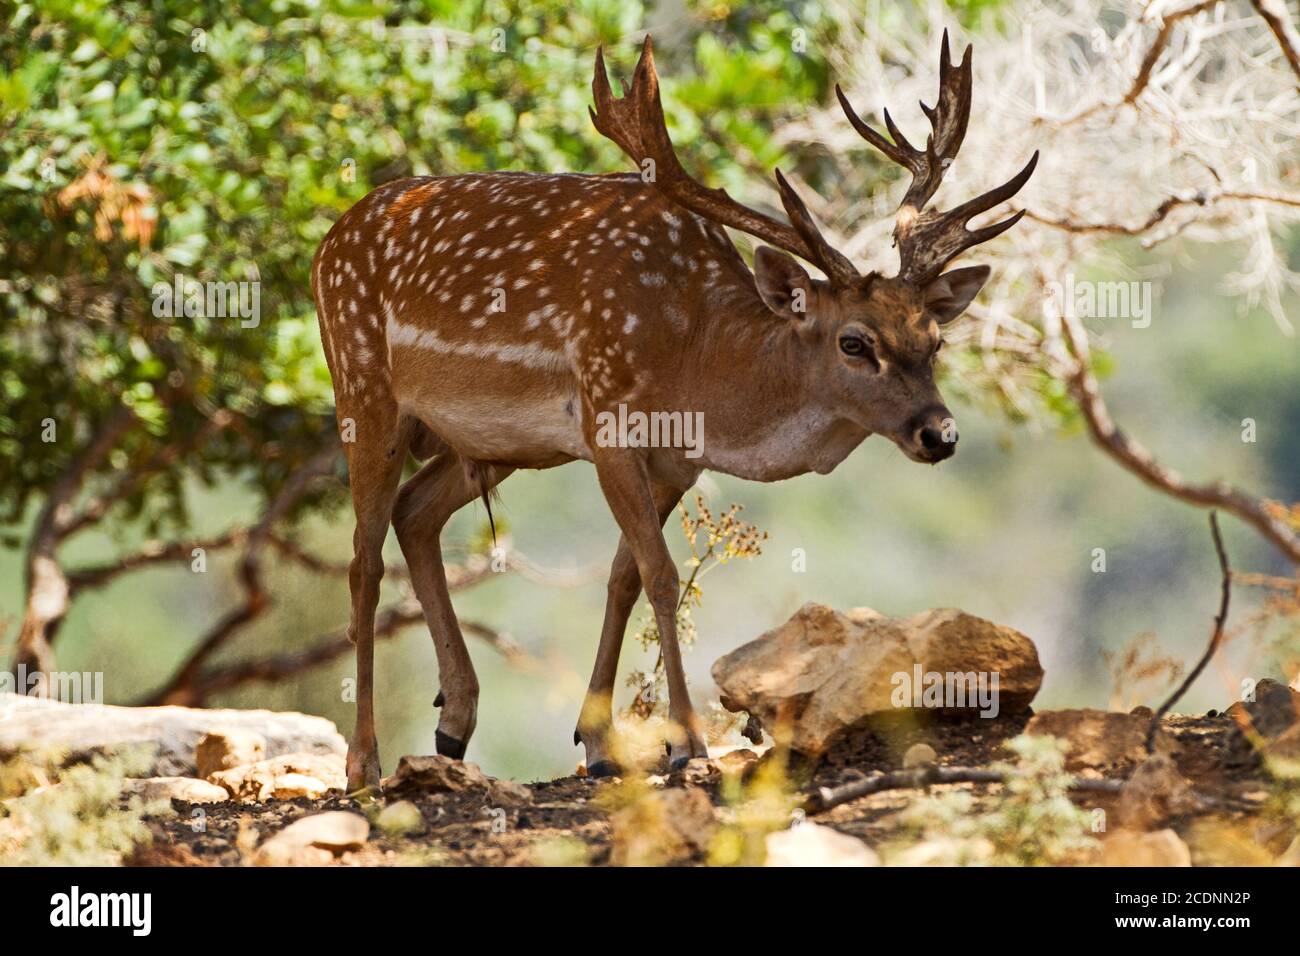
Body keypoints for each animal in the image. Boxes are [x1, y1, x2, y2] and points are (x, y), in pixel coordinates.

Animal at [312, 31, 1034, 790]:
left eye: (934, 338)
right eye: (855, 342)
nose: (940, 433)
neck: (696, 364)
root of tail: (327, 243)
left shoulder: (675, 461)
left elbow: (624, 576)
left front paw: (599, 743)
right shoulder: (607, 418)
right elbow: (661, 576)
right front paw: (687, 741)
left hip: (489, 443)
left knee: (415, 513)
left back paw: (453, 724)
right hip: (362, 385)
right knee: (363, 560)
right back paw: (363, 761)